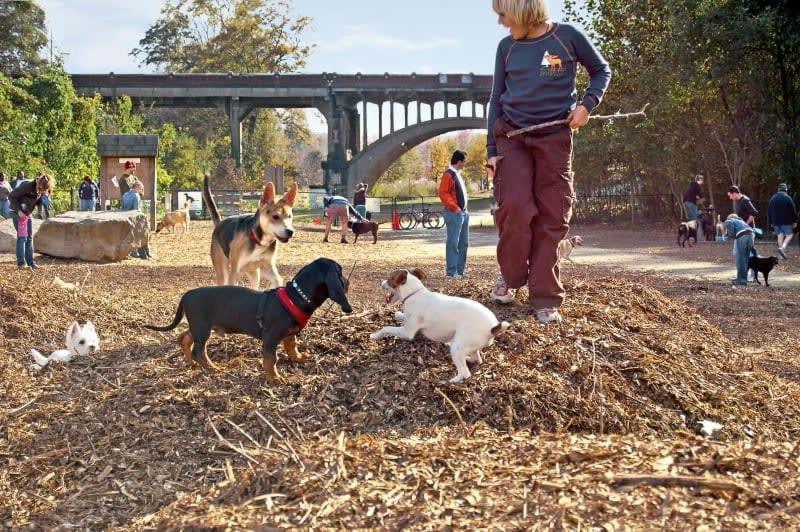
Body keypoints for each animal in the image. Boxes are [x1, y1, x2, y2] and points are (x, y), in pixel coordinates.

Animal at [145, 258, 352, 382]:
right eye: (340, 271)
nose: (348, 282)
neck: (296, 297)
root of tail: (187, 294)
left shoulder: (289, 334)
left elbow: (292, 346)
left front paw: (298, 358)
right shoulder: (270, 338)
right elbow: (271, 359)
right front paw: (274, 378)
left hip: (199, 326)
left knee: (185, 339)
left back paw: (190, 362)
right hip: (203, 329)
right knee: (199, 351)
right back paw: (212, 368)